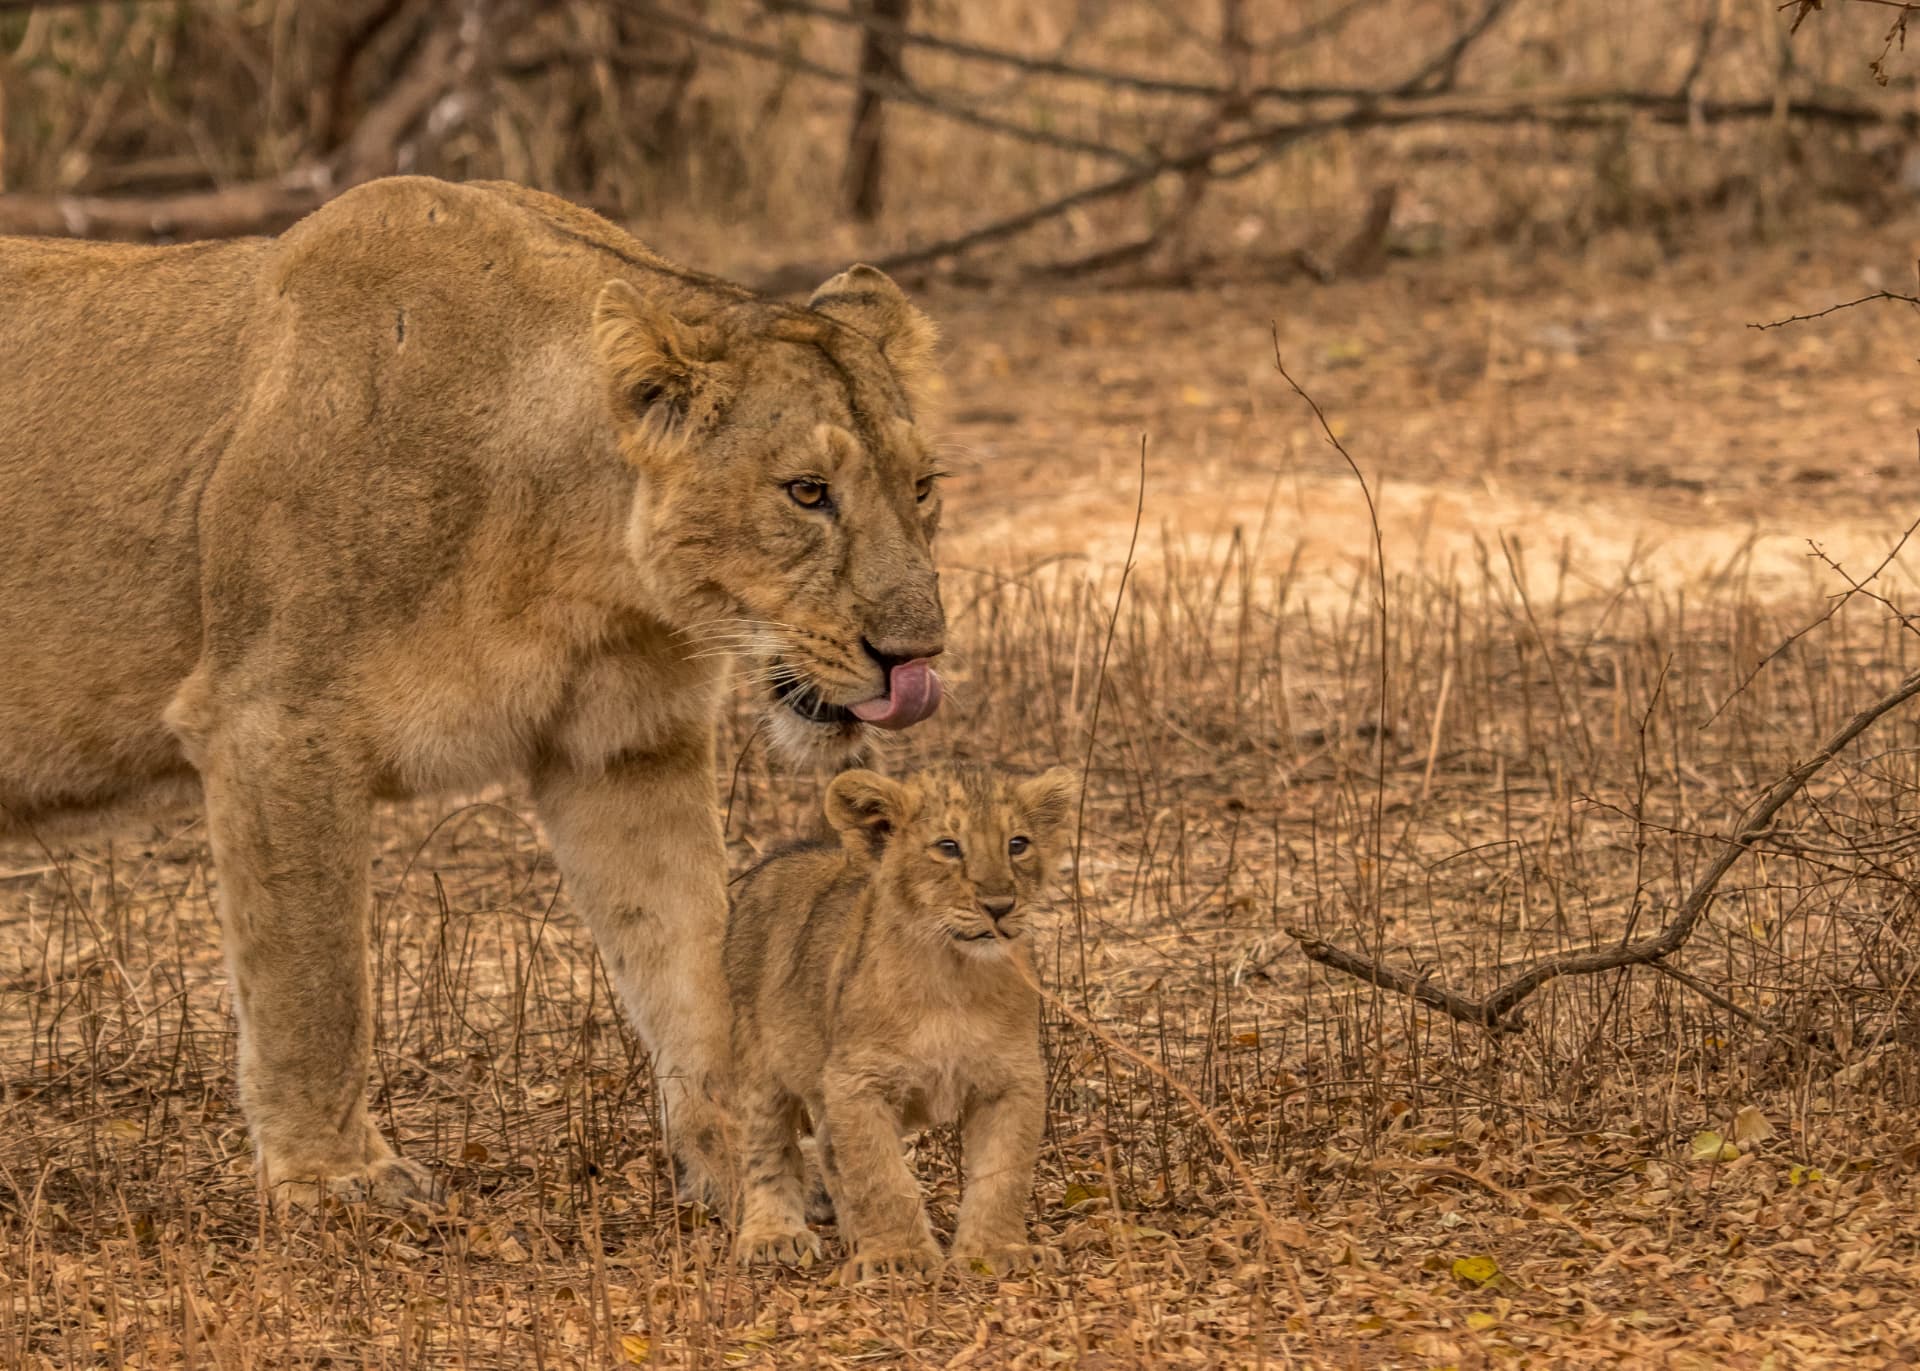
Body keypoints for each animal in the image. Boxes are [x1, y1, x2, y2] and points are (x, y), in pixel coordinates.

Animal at [0, 176, 950, 1210]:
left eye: (923, 486)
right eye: (806, 491)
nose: (918, 655)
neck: (582, 558)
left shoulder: (626, 743)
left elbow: (692, 962)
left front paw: (753, 1170)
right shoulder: (274, 719)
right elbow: (313, 978)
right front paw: (335, 1179)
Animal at [724, 762, 1076, 1283]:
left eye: (1018, 843)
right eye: (948, 846)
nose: (999, 905)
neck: (953, 975)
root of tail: (785, 854)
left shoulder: (1013, 1079)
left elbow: (1003, 1173)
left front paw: (998, 1251)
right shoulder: (858, 1081)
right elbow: (880, 1175)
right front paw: (898, 1257)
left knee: (827, 1147)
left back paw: (853, 1233)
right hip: (759, 1064)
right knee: (768, 1149)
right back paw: (775, 1236)